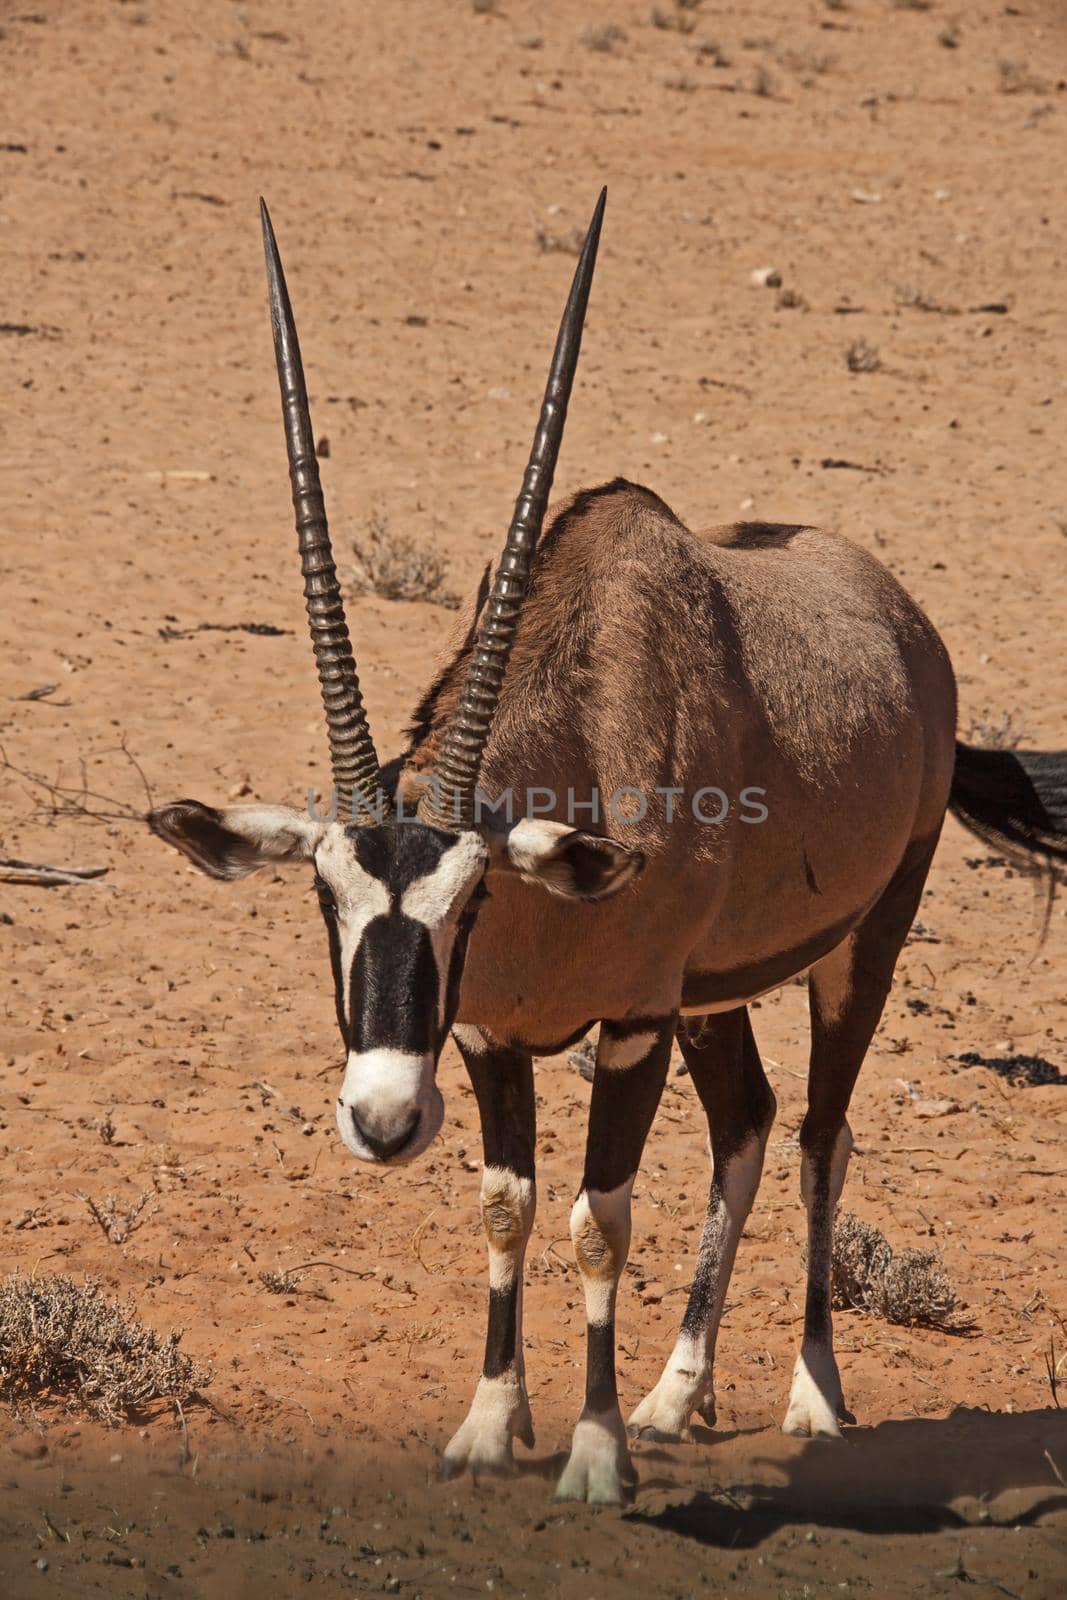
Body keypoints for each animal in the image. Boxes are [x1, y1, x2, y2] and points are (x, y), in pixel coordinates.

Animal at [150, 187, 1067, 1497]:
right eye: (325, 897)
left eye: (471, 901)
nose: (381, 1119)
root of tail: (904, 621)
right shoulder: (494, 1035)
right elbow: (507, 1204)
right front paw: (492, 1424)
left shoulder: (628, 1026)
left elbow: (597, 1219)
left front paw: (589, 1455)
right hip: (711, 994)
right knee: (746, 1123)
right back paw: (674, 1395)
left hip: (860, 945)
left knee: (817, 1138)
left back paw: (811, 1394)